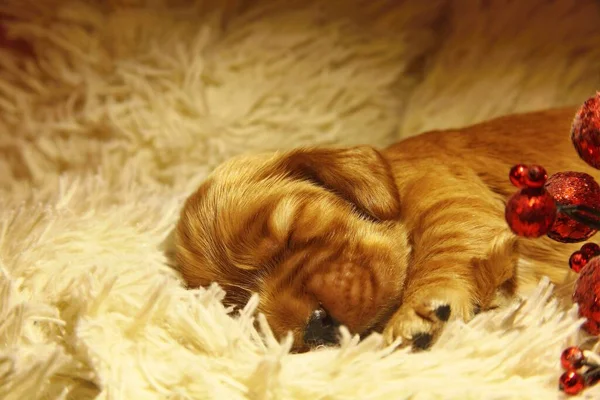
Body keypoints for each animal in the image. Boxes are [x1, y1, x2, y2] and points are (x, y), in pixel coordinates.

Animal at [175, 108, 596, 352]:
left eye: (294, 231)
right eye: (238, 307)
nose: (314, 326)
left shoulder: (452, 201)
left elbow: (448, 247)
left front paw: (420, 313)